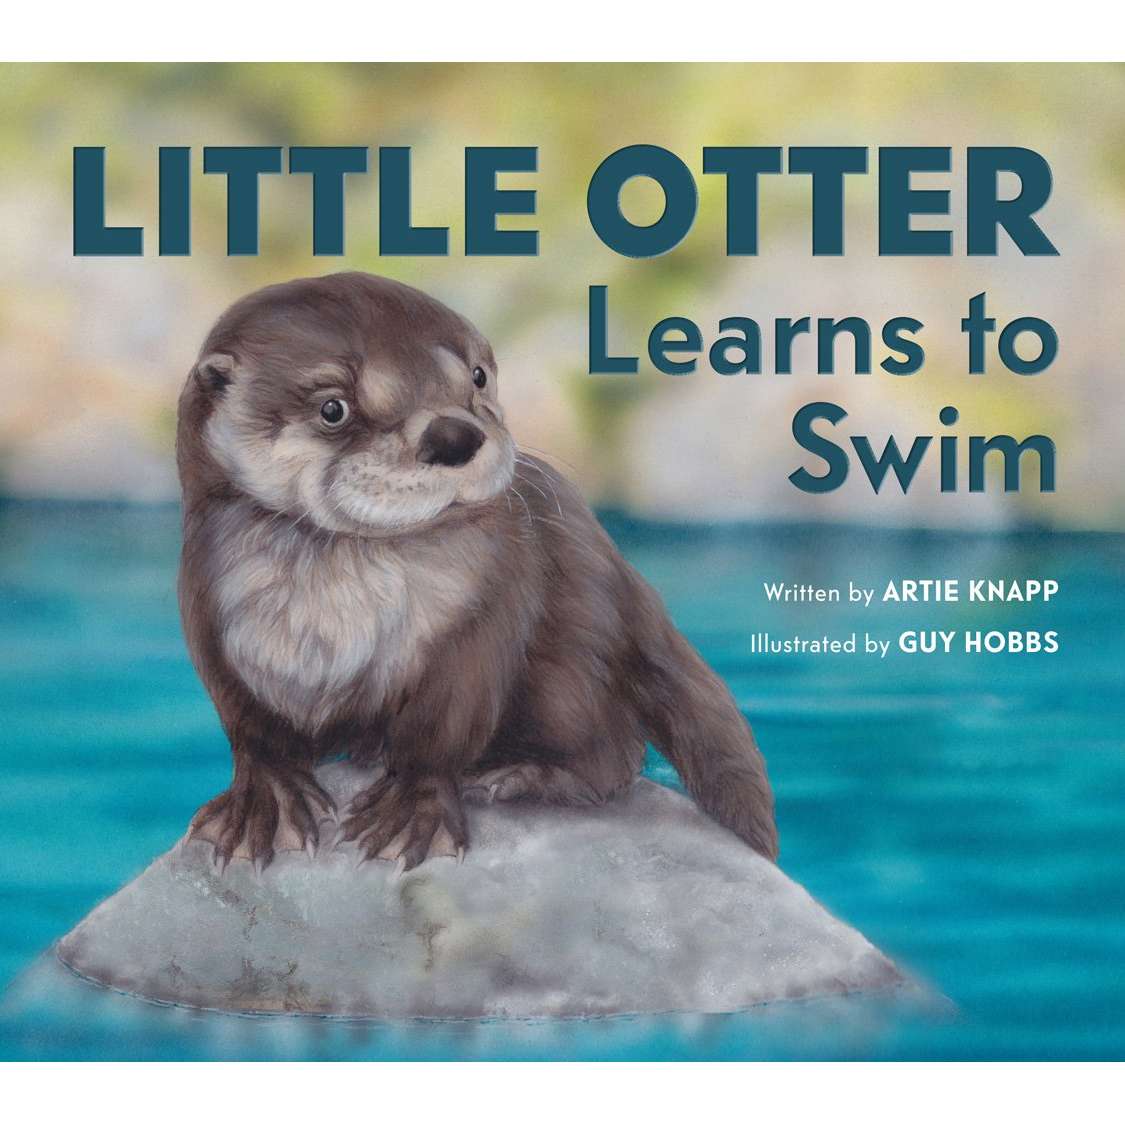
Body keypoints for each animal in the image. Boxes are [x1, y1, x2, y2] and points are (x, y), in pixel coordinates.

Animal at [178, 271, 778, 872]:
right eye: (333, 409)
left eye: (477, 376)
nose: (453, 435)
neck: (333, 614)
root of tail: (625, 578)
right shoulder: (210, 617)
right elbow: (251, 727)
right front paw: (266, 802)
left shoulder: (483, 618)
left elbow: (440, 730)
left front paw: (413, 811)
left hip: (571, 670)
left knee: (615, 754)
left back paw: (515, 775)